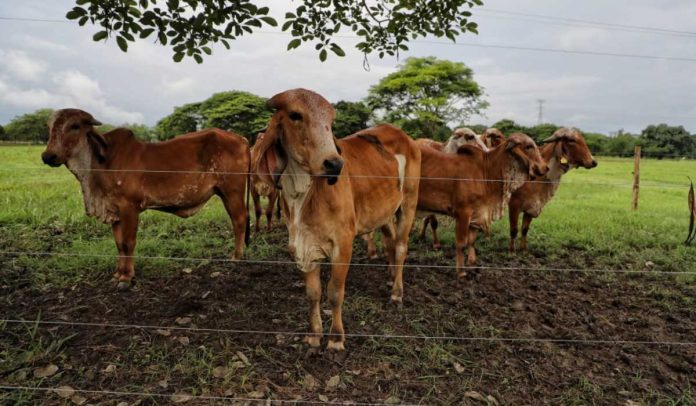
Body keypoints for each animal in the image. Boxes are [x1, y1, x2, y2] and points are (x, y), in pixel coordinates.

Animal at [40, 109, 250, 290]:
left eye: (74, 126)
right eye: (49, 127)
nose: (48, 156)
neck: (100, 164)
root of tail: (241, 138)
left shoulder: (129, 208)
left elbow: (128, 243)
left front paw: (126, 278)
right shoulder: (115, 210)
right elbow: (119, 244)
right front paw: (118, 274)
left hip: (232, 191)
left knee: (239, 220)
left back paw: (236, 257)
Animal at [254, 89, 422, 352]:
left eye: (331, 122)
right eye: (295, 115)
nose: (334, 164)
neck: (303, 193)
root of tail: (406, 137)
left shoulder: (343, 244)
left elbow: (334, 292)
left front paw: (335, 338)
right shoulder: (302, 245)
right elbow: (312, 292)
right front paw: (314, 336)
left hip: (408, 204)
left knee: (402, 247)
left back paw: (397, 292)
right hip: (384, 213)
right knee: (391, 243)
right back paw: (390, 278)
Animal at [418, 133, 548, 276]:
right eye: (528, 146)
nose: (545, 167)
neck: (486, 171)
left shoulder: (477, 214)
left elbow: (471, 241)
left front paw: (473, 264)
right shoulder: (462, 213)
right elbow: (461, 243)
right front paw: (461, 272)